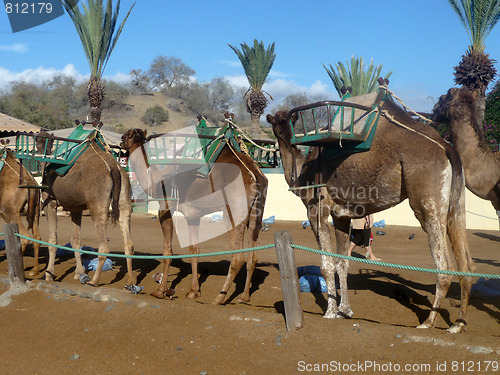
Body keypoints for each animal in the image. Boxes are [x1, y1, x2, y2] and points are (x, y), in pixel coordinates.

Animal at [0, 148, 41, 276]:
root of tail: (30, 183)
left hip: (11, 212)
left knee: (24, 237)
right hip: (35, 210)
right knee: (37, 237)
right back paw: (34, 270)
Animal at [36, 131, 135, 286]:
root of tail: (113, 166)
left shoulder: (50, 203)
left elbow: (52, 240)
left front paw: (48, 275)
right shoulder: (76, 208)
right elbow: (76, 241)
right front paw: (80, 273)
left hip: (97, 204)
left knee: (104, 246)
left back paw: (94, 281)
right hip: (124, 199)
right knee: (128, 243)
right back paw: (130, 281)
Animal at [119, 129, 268, 306]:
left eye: (127, 135)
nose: (120, 142)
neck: (154, 177)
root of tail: (255, 174)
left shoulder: (165, 209)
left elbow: (167, 250)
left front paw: (160, 291)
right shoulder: (193, 215)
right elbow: (194, 250)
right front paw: (193, 292)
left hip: (233, 211)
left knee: (238, 258)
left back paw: (219, 298)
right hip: (256, 214)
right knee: (253, 255)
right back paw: (244, 297)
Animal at [270, 89, 476, 334]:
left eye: (282, 124)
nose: (282, 132)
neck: (302, 172)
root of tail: (446, 147)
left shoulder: (317, 210)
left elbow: (327, 265)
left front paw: (330, 312)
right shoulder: (341, 216)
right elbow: (342, 263)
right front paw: (345, 311)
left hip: (427, 202)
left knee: (443, 265)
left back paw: (428, 322)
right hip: (456, 203)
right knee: (466, 262)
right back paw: (458, 323)